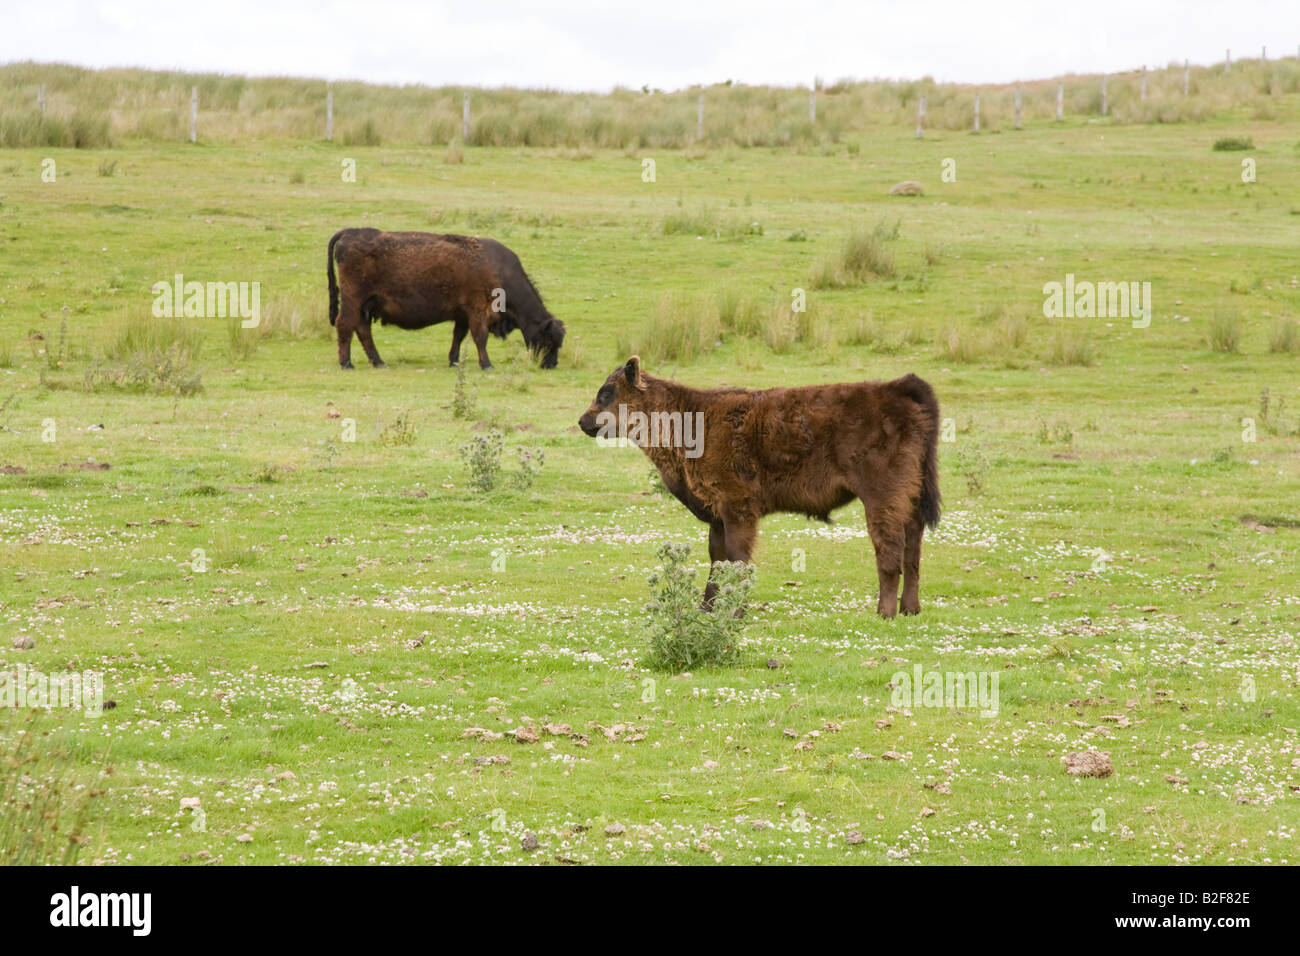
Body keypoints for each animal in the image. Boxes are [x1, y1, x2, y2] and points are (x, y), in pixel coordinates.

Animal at [326, 228, 565, 370]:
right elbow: (480, 337)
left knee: (362, 330)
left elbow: (458, 336)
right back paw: (346, 363)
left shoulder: (462, 315)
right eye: (549, 340)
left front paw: (454, 361)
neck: (499, 270)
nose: (551, 364)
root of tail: (352, 233)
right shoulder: (477, 311)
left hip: (366, 304)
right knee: (345, 325)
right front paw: (486, 364)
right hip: (353, 300)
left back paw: (379, 362)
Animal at [578, 357, 942, 618]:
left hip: (882, 498)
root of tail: (897, 387)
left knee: (889, 548)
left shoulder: (738, 508)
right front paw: (707, 608)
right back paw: (910, 608)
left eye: (606, 392)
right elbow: (717, 559)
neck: (692, 418)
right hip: (909, 499)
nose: (583, 421)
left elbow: (738, 558)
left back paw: (885, 611)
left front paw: (736, 612)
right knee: (913, 549)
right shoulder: (717, 514)